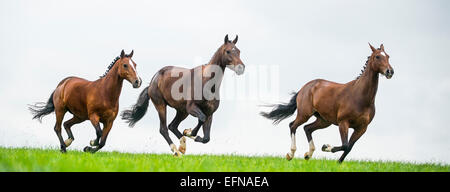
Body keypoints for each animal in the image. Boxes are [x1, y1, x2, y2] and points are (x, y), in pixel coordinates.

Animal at [260, 44, 394, 163]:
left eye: (388, 56)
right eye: (377, 56)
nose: (390, 71)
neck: (360, 98)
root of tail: (304, 88)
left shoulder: (362, 128)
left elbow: (349, 147)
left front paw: (338, 163)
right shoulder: (343, 123)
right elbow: (345, 145)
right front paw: (325, 147)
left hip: (324, 121)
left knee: (307, 128)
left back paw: (308, 154)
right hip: (304, 114)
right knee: (293, 125)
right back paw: (290, 154)